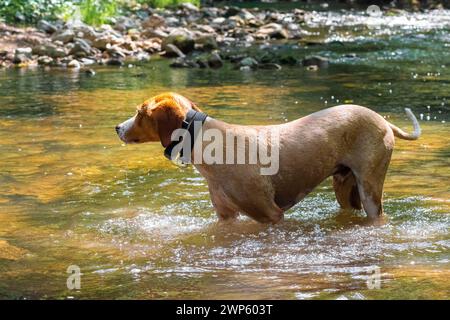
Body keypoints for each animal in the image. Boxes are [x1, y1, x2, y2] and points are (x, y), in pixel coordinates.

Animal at [116, 92, 422, 222]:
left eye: (140, 113)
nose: (117, 127)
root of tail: (383, 120)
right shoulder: (226, 217)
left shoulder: (272, 215)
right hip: (345, 188)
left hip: (370, 188)